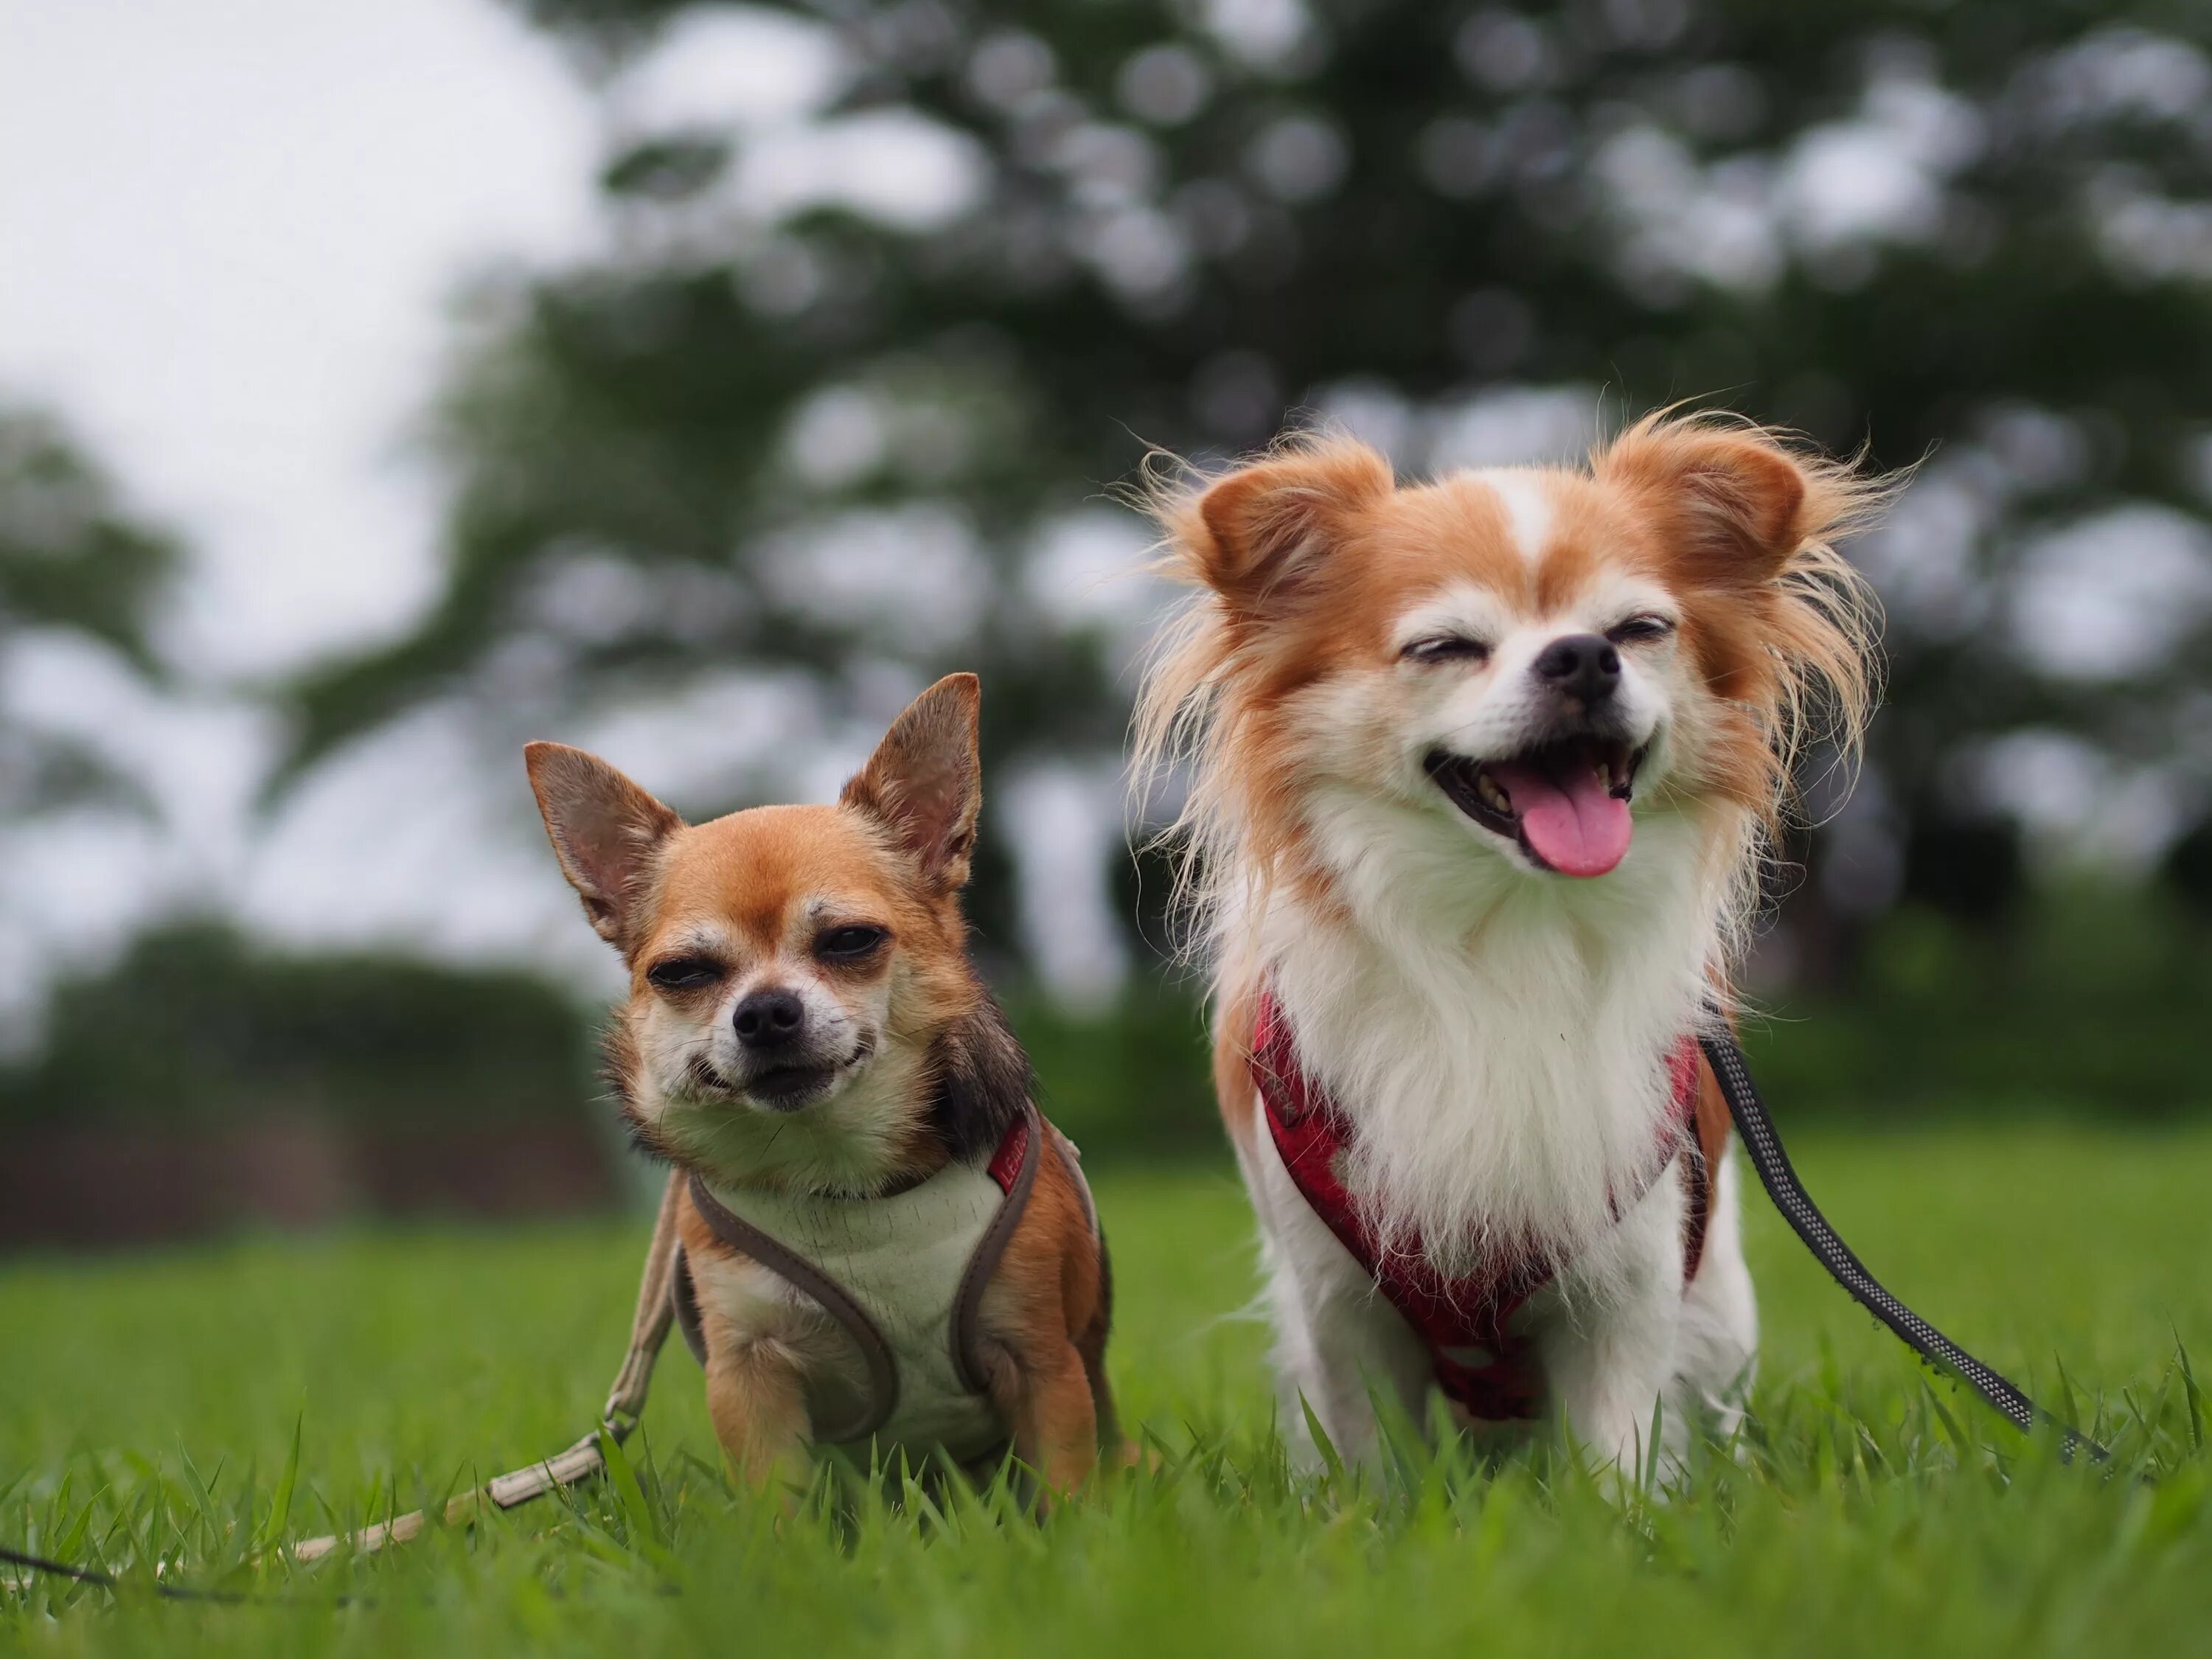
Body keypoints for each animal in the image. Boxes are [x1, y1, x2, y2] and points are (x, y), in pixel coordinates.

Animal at [524, 681, 1115, 1504]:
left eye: (850, 941)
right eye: (681, 974)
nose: (765, 1012)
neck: (836, 1174)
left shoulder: (1042, 1361)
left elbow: (1064, 1494)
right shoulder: (751, 1377)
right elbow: (777, 1507)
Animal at [1141, 416, 1885, 1478]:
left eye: (1639, 632)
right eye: (1446, 647)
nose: (1581, 658)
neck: (1511, 934)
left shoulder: (1627, 1280)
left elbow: (1620, 1455)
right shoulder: (1341, 1305)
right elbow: (1373, 1463)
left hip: (1718, 1312)